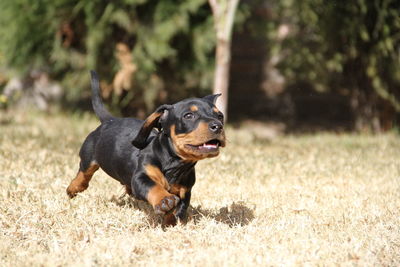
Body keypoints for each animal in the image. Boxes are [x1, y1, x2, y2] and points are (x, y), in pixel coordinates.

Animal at [67, 71, 227, 226]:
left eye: (220, 116)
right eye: (189, 115)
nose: (217, 126)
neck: (175, 164)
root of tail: (110, 120)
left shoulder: (185, 191)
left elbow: (178, 210)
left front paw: (171, 223)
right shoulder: (141, 177)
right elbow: (152, 187)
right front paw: (164, 200)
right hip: (88, 156)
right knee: (84, 173)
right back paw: (73, 188)